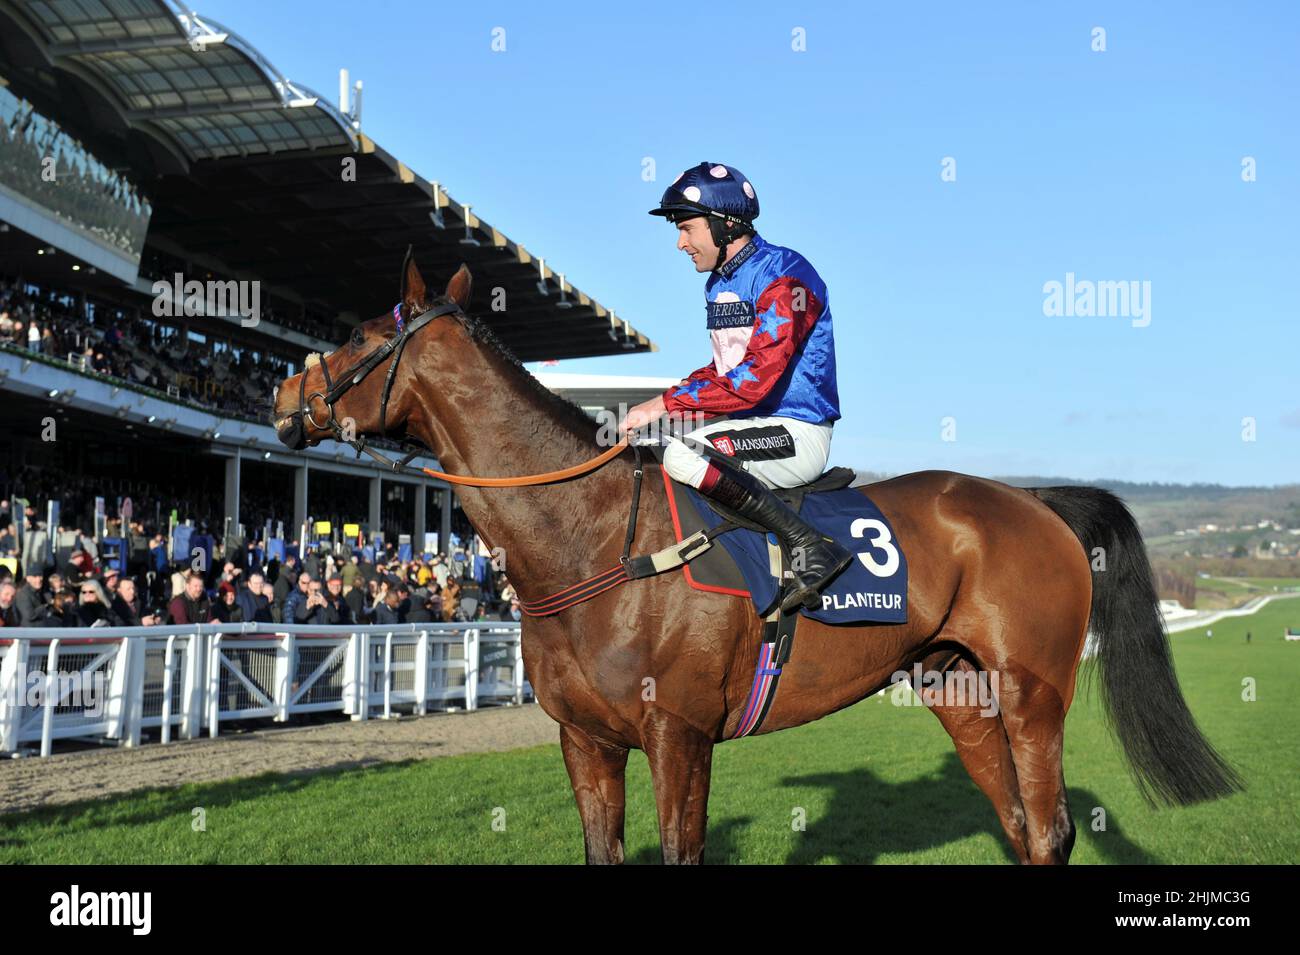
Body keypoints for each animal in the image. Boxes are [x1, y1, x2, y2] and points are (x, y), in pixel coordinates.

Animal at [269, 254, 1242, 867]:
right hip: (959, 689)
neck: (592, 539)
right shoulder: (586, 739)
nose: (282, 394)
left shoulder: (679, 732)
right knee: (1017, 826)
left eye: (362, 334)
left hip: (1034, 695)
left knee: (1048, 829)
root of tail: (1035, 501)